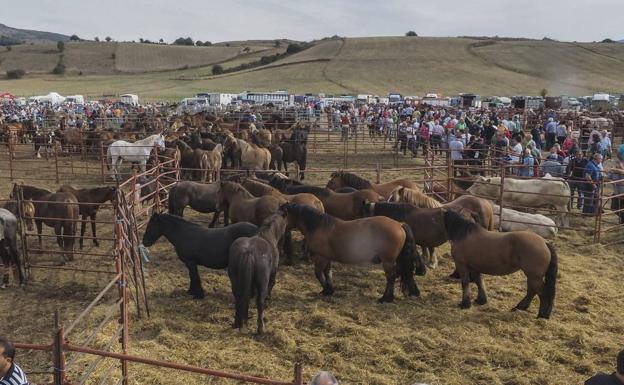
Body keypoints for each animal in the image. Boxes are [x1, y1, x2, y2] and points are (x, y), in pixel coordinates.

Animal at [286, 202, 426, 302]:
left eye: (283, 214)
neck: (320, 227)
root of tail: (399, 224)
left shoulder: (321, 258)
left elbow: (319, 274)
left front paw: (327, 290)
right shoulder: (327, 258)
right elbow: (328, 273)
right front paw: (328, 290)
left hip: (388, 261)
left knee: (391, 277)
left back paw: (386, 298)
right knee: (404, 273)